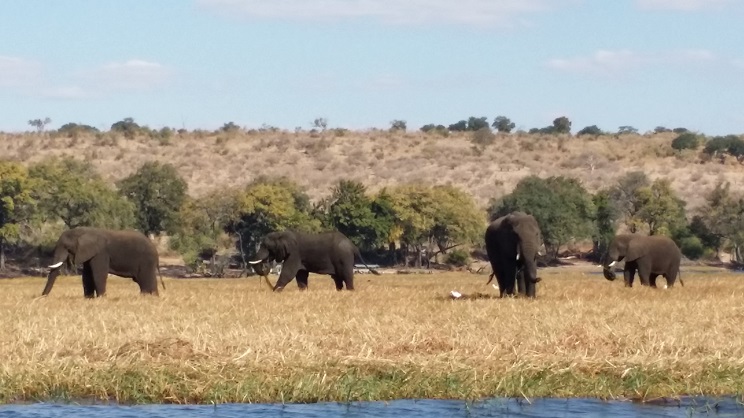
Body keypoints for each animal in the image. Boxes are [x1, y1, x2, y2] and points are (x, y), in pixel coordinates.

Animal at [250, 230, 380, 292]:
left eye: (267, 247)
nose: (266, 265)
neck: (281, 234)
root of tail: (353, 246)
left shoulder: (294, 254)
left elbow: (288, 273)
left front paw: (275, 292)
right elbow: (301, 275)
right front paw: (303, 292)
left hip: (344, 257)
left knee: (346, 276)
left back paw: (350, 291)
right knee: (337, 278)